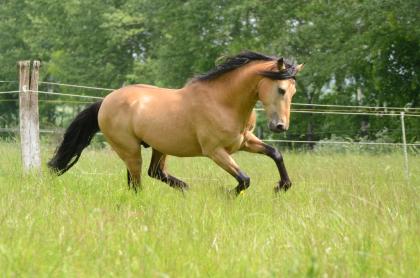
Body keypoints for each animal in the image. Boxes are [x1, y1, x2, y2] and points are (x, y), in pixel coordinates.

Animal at [48, 52, 302, 195]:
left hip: (158, 147)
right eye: (281, 89)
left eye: (293, 91)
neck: (224, 101)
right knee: (137, 182)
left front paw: (282, 186)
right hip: (130, 149)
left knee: (154, 173)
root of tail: (105, 101)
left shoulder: (244, 142)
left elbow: (275, 153)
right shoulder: (215, 151)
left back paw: (185, 188)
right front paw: (225, 193)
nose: (280, 127)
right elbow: (244, 179)